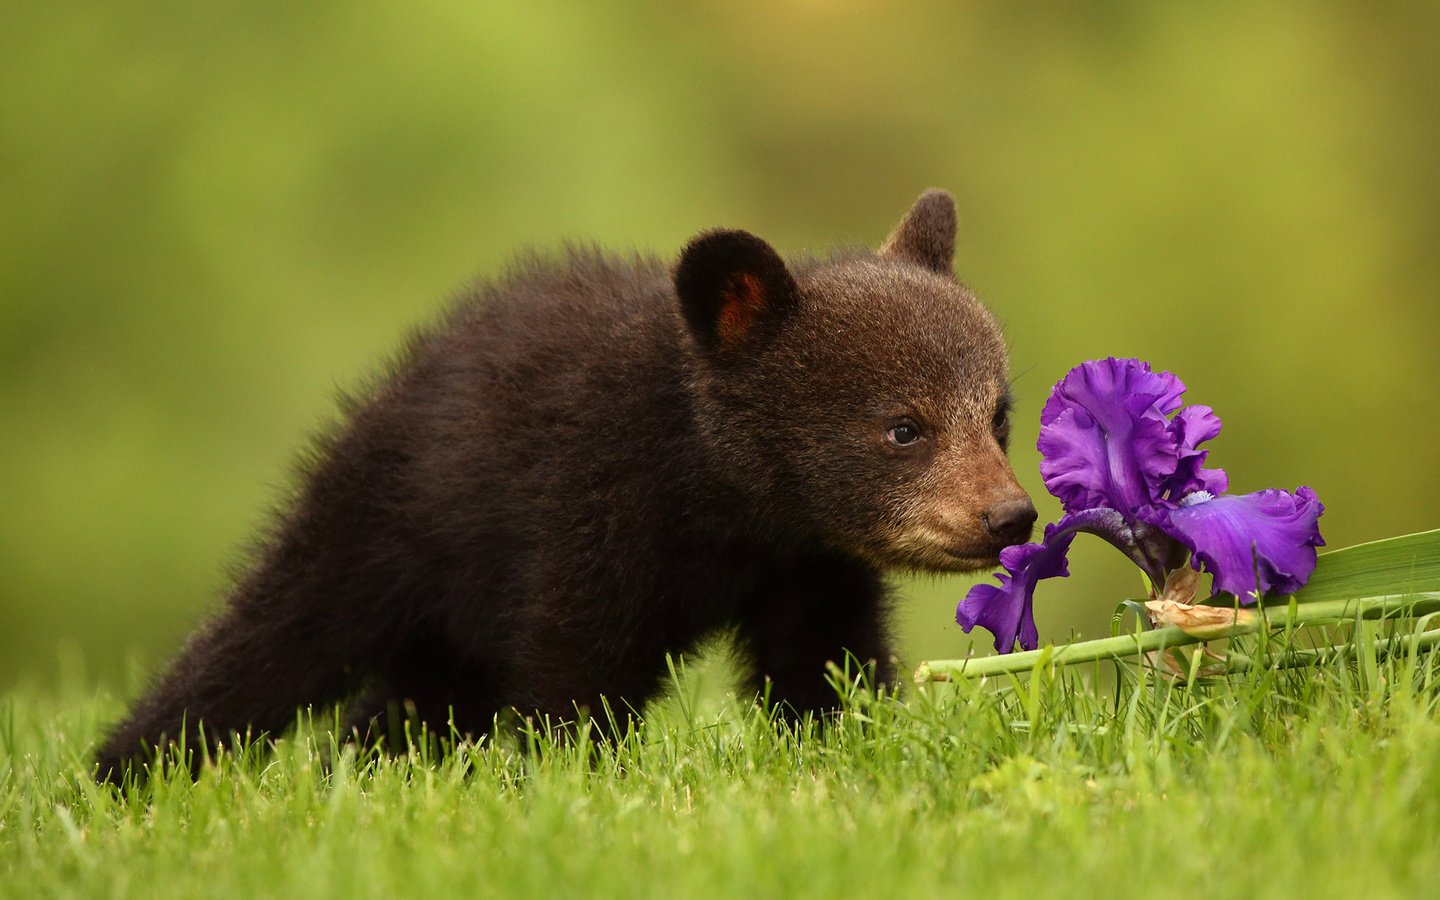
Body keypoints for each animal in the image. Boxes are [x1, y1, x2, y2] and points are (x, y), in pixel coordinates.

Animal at [95, 190, 1036, 777]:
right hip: (383, 522)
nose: (1009, 515)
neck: (723, 503)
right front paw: (575, 777)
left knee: (404, 707)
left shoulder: (807, 567)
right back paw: (127, 769)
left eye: (997, 414)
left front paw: (849, 739)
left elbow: (825, 664)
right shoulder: (587, 506)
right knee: (268, 639)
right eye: (903, 426)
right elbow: (575, 667)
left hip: (450, 624)